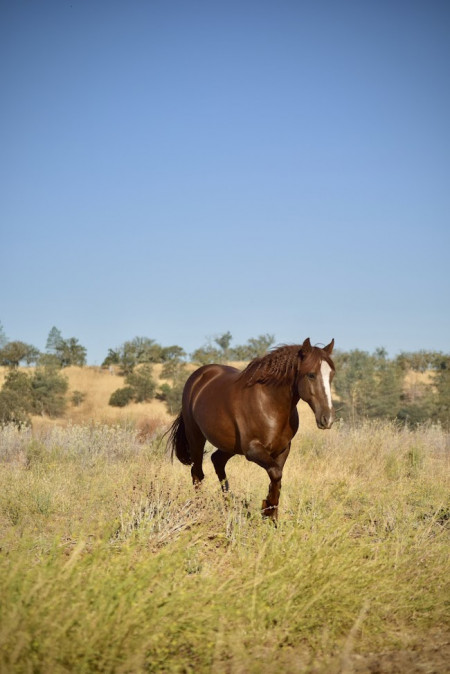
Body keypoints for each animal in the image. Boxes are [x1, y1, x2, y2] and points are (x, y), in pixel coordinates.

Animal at [167, 336, 336, 520]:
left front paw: (271, 515)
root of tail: (197, 377)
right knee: (197, 473)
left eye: (331, 375)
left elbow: (276, 479)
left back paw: (229, 506)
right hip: (196, 437)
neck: (270, 403)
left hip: (231, 446)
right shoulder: (252, 449)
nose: (327, 419)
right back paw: (200, 509)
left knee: (217, 461)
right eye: (311, 375)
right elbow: (276, 473)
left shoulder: (283, 449)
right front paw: (267, 509)